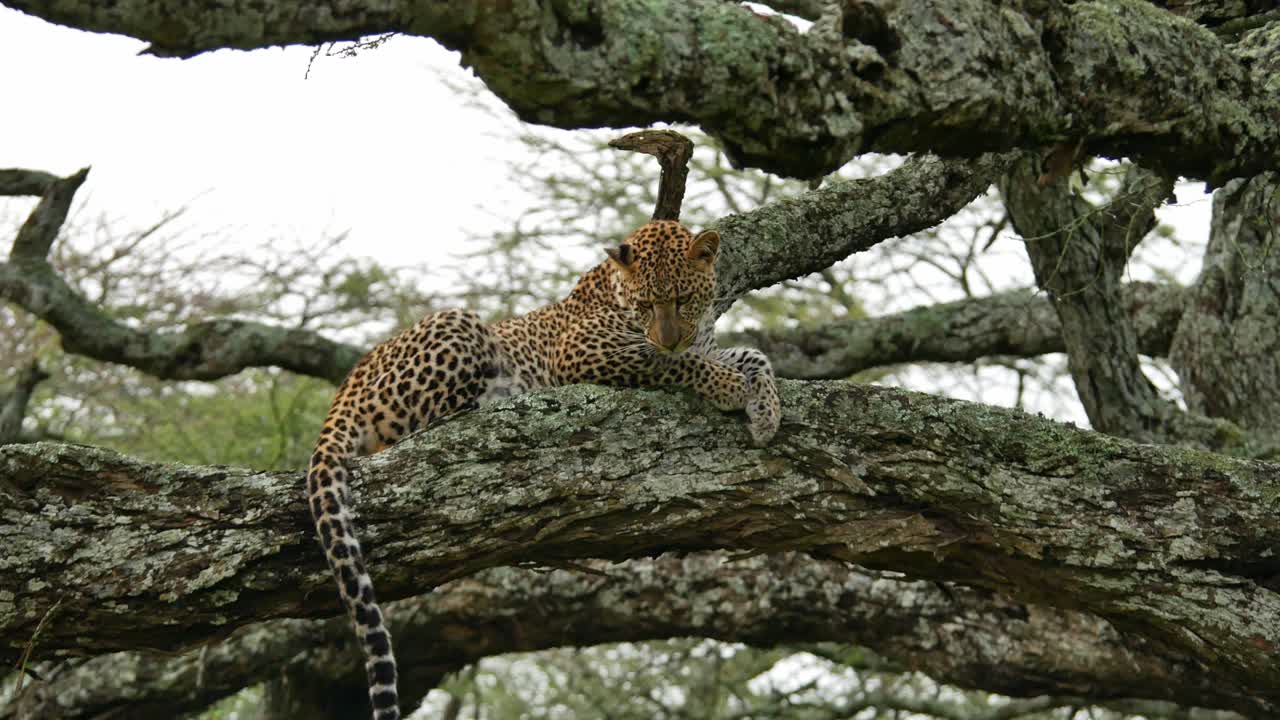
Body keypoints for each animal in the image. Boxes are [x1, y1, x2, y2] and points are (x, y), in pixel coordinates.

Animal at [307, 219, 781, 720]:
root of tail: (347, 385)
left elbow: (752, 356)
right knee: (409, 433)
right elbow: (671, 363)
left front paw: (766, 410)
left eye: (683, 298)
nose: (668, 335)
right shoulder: (582, 351)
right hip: (461, 327)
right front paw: (730, 387)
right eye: (646, 305)